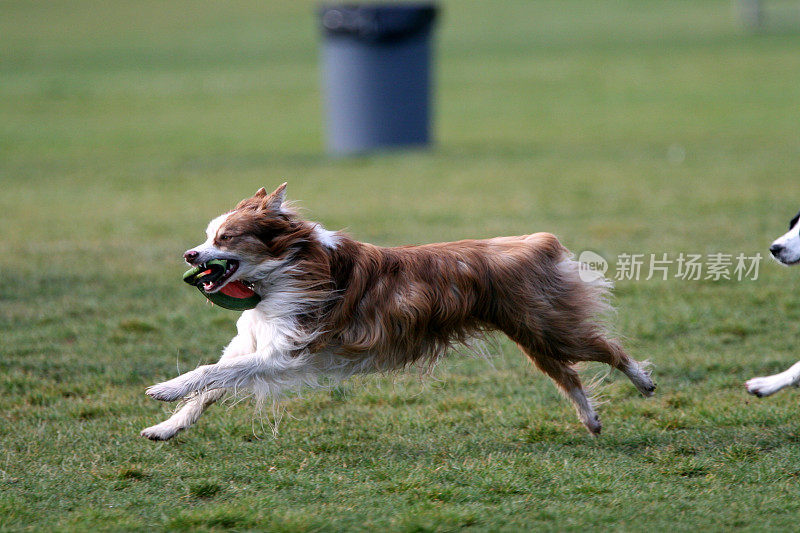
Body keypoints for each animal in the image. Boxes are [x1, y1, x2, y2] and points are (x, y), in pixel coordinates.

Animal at [142, 184, 656, 440]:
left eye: (225, 238)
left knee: (608, 350)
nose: (190, 254)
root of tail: (531, 243)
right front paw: (166, 428)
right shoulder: (254, 346)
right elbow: (211, 387)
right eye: (207, 235)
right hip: (534, 335)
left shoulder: (282, 354)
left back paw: (643, 381)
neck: (283, 270)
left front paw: (166, 389)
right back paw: (591, 420)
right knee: (569, 376)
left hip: (548, 328)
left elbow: (209, 373)